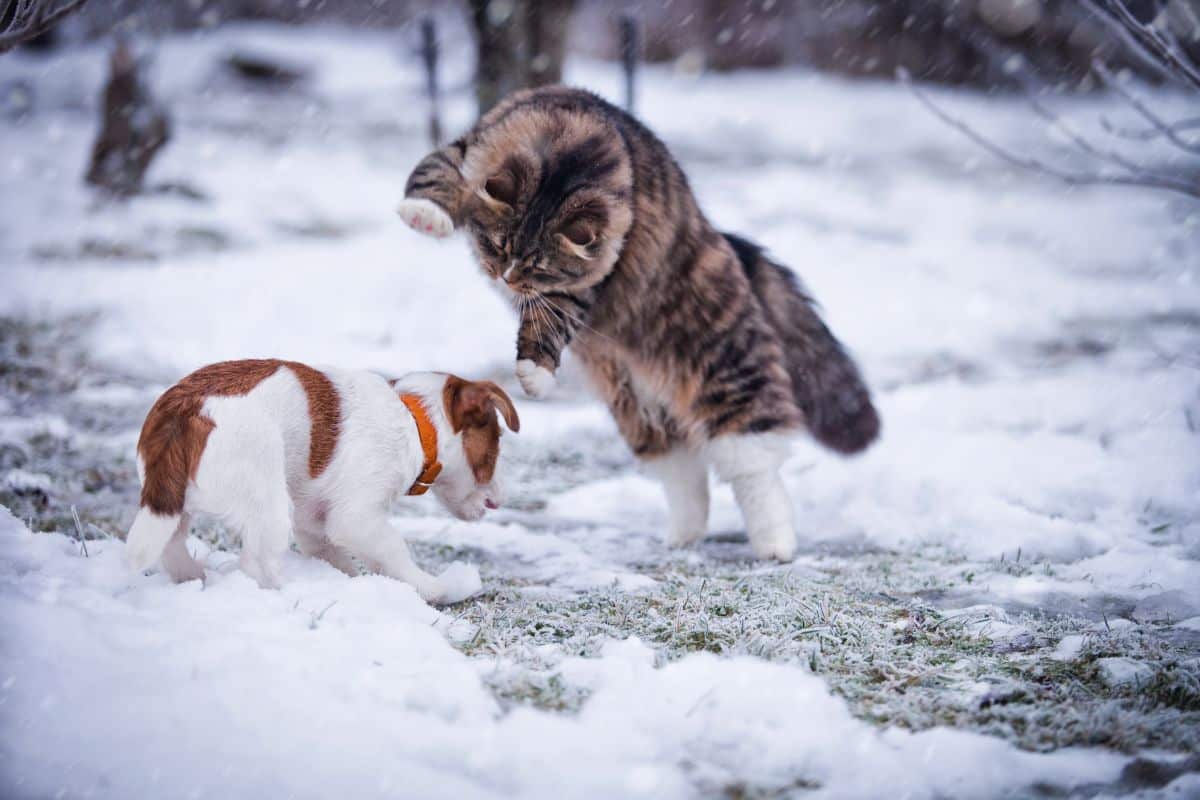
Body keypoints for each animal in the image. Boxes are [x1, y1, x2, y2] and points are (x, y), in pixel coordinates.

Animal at [126, 359, 520, 604]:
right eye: (497, 444)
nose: (500, 500)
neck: (414, 417)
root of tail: (186, 409)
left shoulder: (314, 524)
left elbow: (337, 557)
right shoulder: (356, 518)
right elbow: (393, 548)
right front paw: (432, 587)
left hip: (173, 497)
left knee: (172, 544)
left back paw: (193, 576)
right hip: (269, 505)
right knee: (257, 564)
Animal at [398, 86, 878, 563]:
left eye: (538, 268)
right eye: (498, 246)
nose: (506, 279)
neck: (567, 149)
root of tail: (724, 241)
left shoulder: (582, 284)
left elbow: (549, 325)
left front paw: (535, 372)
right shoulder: (466, 149)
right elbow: (434, 175)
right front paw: (425, 213)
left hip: (726, 371)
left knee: (753, 466)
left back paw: (775, 543)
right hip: (632, 402)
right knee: (684, 470)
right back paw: (685, 534)